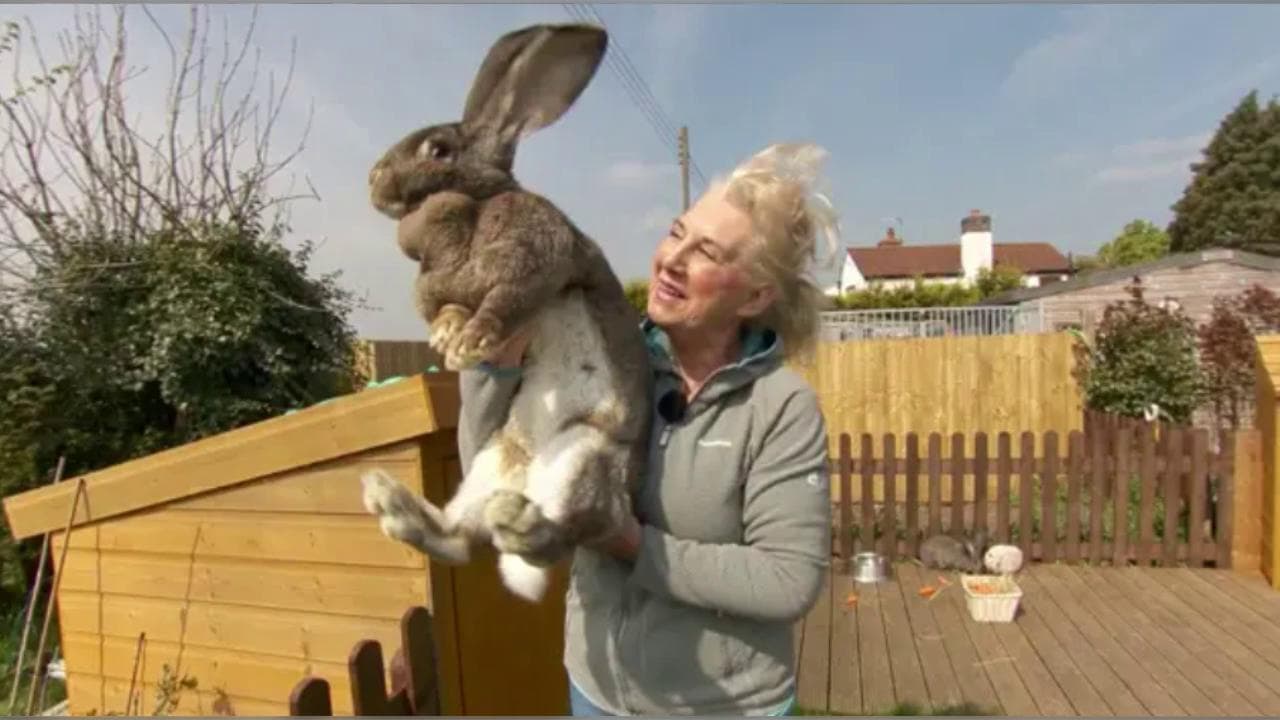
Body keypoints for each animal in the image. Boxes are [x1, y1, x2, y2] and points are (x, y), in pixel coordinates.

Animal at [358, 22, 653, 603]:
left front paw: (471, 341)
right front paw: (448, 339)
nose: (374, 180)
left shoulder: (532, 264)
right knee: (457, 539)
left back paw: (518, 521)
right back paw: (388, 499)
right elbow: (449, 306)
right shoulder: (452, 290)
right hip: (489, 465)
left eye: (437, 149)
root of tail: (523, 478)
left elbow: (504, 302)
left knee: (553, 541)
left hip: (583, 457)